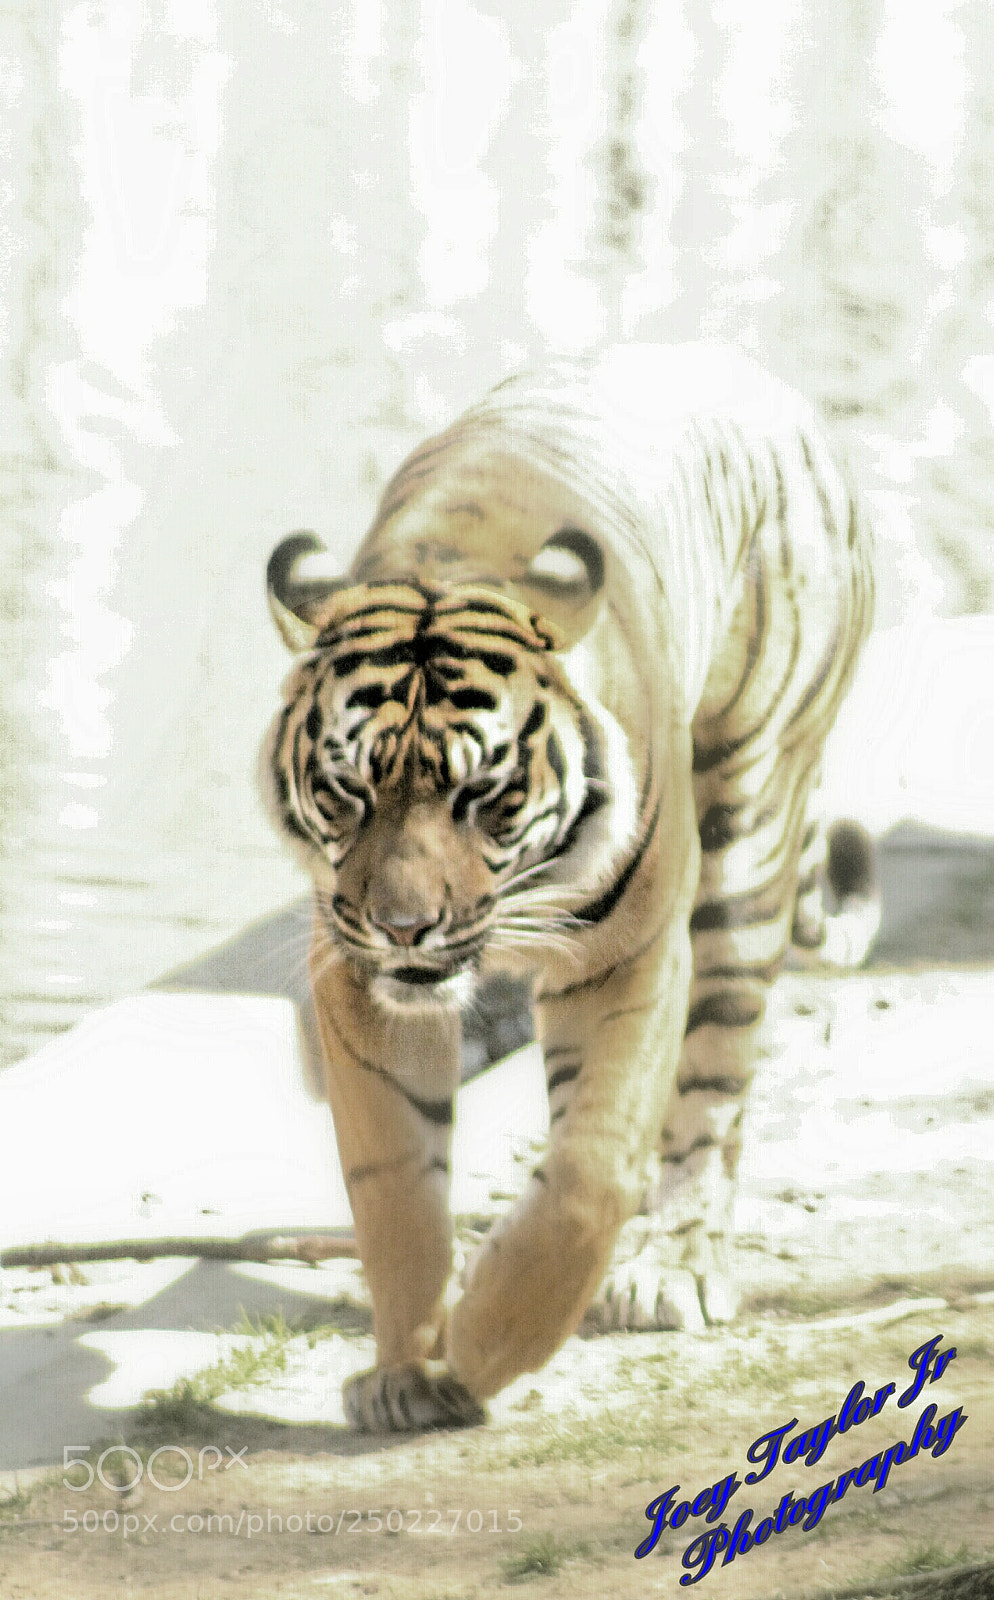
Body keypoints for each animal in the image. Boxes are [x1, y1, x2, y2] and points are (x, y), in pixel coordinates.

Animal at [261, 342, 876, 1432]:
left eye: (481, 793)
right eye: (348, 790)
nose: (404, 927)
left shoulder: (631, 949)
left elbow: (593, 1169)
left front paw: (489, 1342)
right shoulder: (355, 978)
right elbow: (393, 1185)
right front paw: (406, 1374)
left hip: (749, 832)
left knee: (711, 1088)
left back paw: (673, 1263)